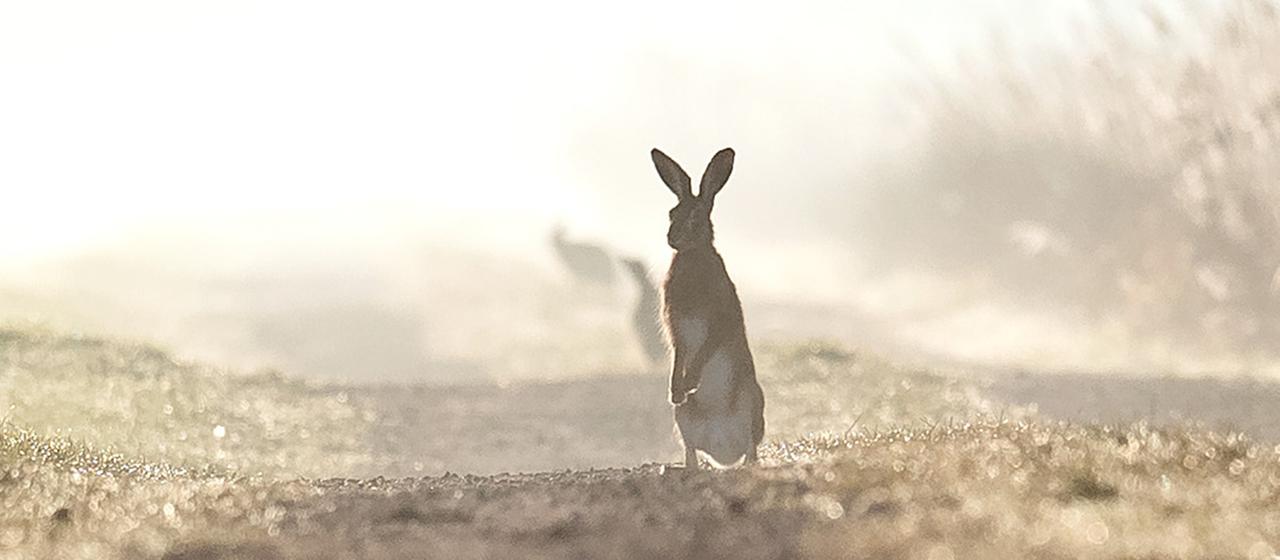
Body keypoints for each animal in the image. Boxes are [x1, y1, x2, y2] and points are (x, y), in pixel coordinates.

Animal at [650, 147, 765, 470]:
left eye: (696, 217)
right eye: (672, 214)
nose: (672, 238)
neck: (692, 256)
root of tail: (723, 449)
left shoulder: (721, 317)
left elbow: (708, 346)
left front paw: (690, 381)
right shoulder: (676, 325)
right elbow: (679, 351)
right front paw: (678, 389)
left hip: (752, 401)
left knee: (751, 447)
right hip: (683, 420)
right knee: (691, 451)